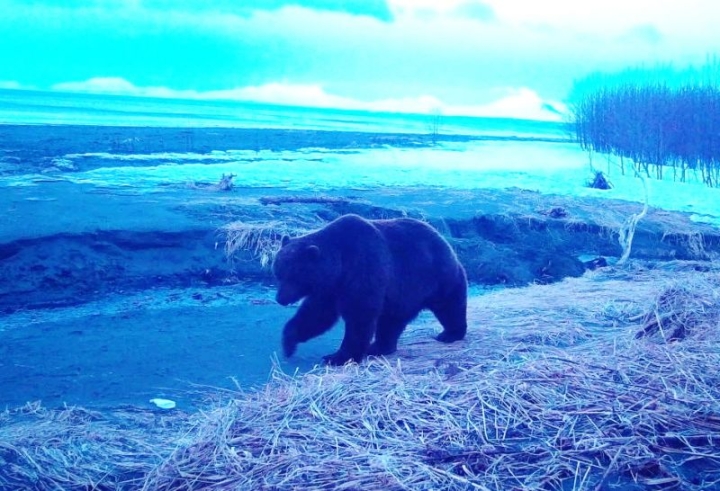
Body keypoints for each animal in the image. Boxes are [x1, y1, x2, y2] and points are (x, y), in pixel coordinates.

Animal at [272, 214, 467, 365]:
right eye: (278, 274)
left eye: (293, 277)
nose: (280, 298)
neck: (340, 267)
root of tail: (444, 240)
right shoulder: (329, 288)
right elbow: (316, 314)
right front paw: (288, 343)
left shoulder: (364, 268)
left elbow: (360, 314)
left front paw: (337, 357)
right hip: (403, 295)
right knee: (391, 321)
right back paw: (379, 347)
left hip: (436, 277)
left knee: (449, 305)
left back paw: (450, 333)